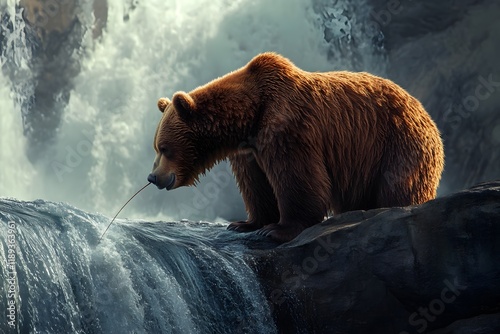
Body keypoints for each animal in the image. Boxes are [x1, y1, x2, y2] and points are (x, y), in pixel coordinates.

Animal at [147, 52, 442, 241]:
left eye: (164, 147)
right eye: (156, 147)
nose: (153, 177)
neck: (250, 116)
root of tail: (425, 111)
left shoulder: (288, 126)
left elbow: (298, 177)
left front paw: (277, 229)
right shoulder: (250, 150)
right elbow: (257, 185)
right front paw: (244, 223)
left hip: (396, 142)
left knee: (398, 184)